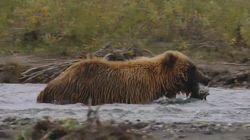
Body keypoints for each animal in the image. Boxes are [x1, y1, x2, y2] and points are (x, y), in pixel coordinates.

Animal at [36, 50, 209, 104]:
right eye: (192, 68)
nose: (207, 78)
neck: (159, 81)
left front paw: (202, 94)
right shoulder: (138, 91)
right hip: (75, 90)